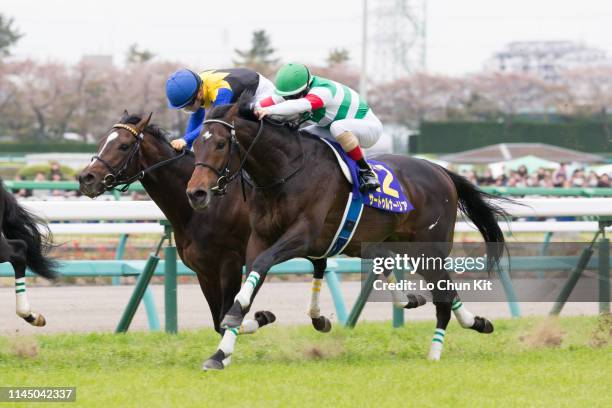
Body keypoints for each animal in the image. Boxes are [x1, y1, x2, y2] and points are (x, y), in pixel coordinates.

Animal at [77, 112, 276, 366]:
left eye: (124, 145)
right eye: (102, 141)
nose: (86, 178)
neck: (206, 207)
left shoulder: (230, 262)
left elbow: (228, 315)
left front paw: (257, 322)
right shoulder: (204, 269)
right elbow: (218, 320)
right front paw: (258, 320)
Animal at [186, 93, 512, 370]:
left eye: (220, 144)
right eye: (196, 145)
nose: (196, 193)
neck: (285, 172)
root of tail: (440, 170)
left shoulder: (302, 235)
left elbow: (262, 268)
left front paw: (232, 321)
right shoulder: (261, 238)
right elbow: (254, 277)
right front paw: (220, 353)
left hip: (428, 248)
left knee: (443, 293)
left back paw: (436, 351)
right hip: (398, 245)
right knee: (435, 285)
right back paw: (472, 321)